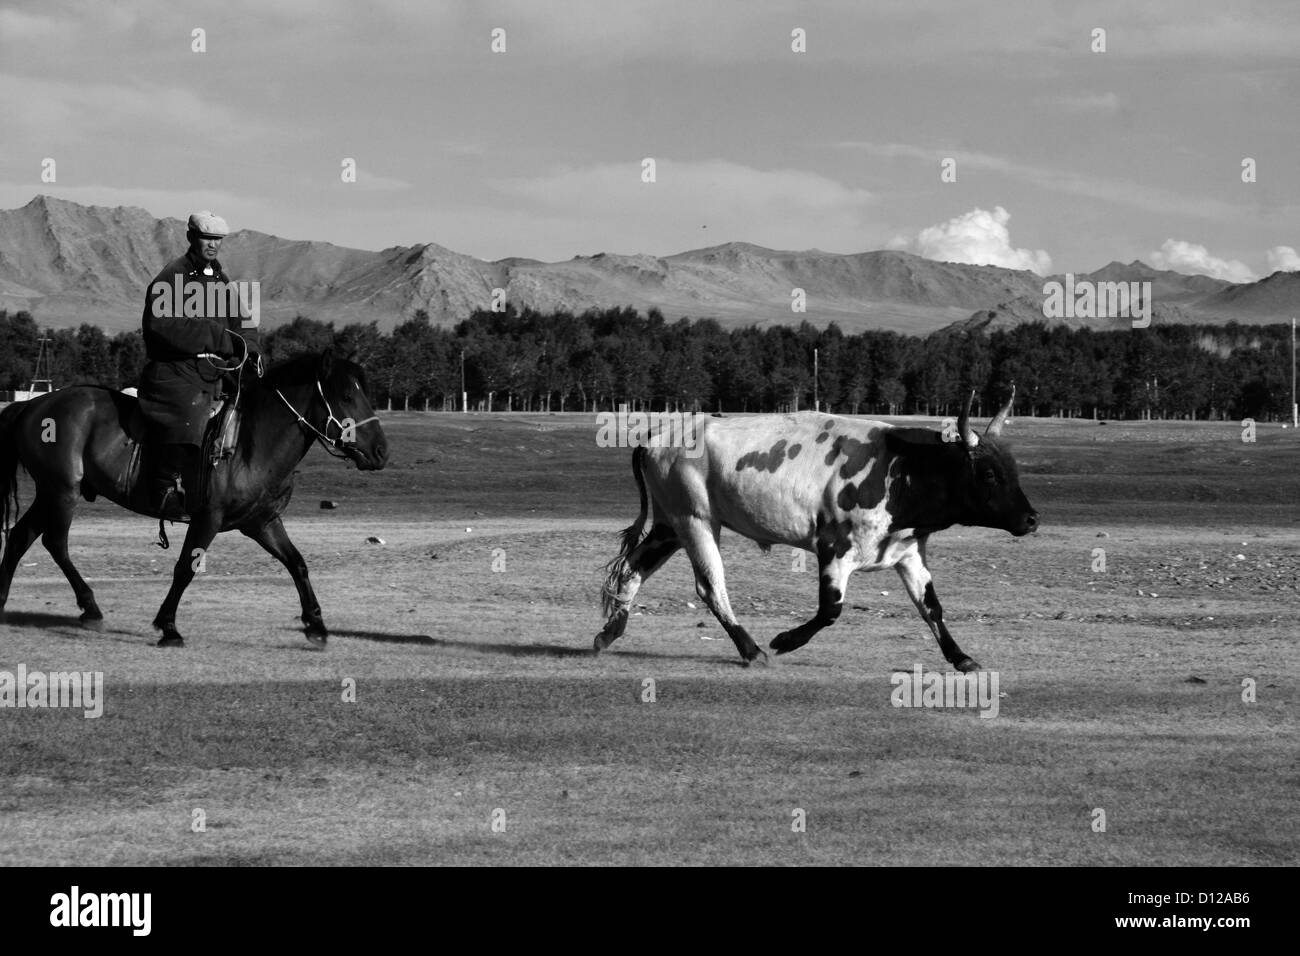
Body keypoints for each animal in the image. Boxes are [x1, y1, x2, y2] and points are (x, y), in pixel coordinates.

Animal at [0, 348, 387, 647]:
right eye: (346, 396)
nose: (381, 451)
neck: (251, 442)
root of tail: (34, 405)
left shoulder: (261, 522)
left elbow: (297, 563)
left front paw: (316, 625)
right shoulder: (207, 518)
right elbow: (185, 568)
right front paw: (168, 627)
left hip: (50, 493)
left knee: (20, 537)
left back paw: (4, 602)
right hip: (62, 491)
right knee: (55, 542)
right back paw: (90, 608)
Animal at [595, 390, 1034, 671]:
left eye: (1013, 469)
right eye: (989, 473)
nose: (1031, 519)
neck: (903, 469)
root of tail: (657, 437)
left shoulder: (907, 553)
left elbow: (931, 608)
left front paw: (962, 658)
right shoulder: (834, 547)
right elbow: (830, 610)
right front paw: (785, 641)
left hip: (669, 525)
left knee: (633, 568)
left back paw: (609, 632)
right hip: (696, 521)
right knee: (710, 586)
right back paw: (751, 649)